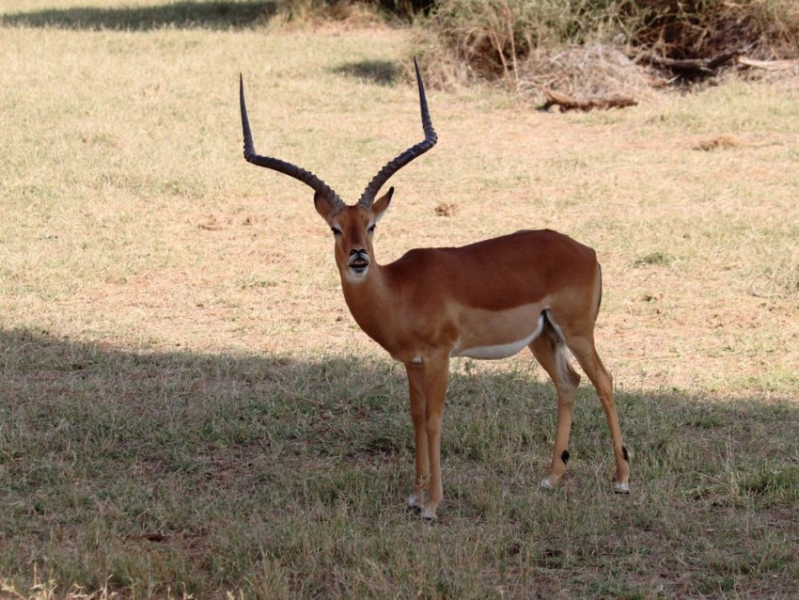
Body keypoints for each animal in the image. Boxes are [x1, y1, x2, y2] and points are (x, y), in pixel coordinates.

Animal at [239, 62, 632, 520]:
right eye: (336, 228)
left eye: (372, 225)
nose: (358, 257)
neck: (399, 291)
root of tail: (587, 251)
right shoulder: (412, 363)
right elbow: (414, 416)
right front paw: (414, 493)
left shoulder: (440, 356)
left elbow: (434, 419)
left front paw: (432, 503)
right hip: (543, 338)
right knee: (569, 383)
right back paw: (551, 478)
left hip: (577, 331)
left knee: (604, 380)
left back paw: (622, 480)